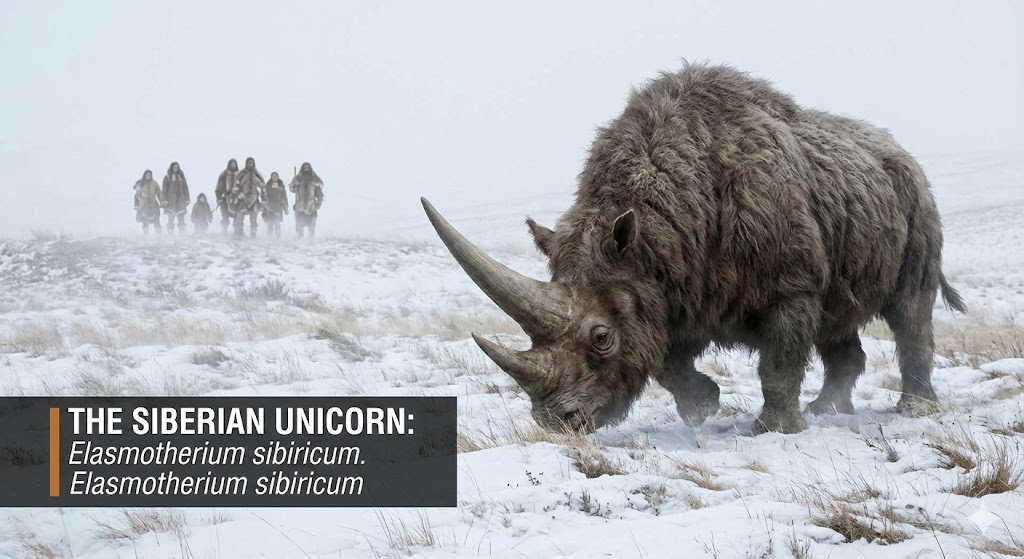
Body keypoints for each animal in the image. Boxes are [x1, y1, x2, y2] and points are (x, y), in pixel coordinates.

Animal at [421, 62, 966, 435]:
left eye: (601, 339)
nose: (556, 425)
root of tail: (898, 150)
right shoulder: (670, 285)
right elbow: (663, 360)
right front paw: (703, 407)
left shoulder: (790, 284)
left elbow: (780, 360)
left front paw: (774, 431)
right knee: (840, 317)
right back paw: (829, 409)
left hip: (916, 196)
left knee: (909, 305)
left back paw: (911, 409)